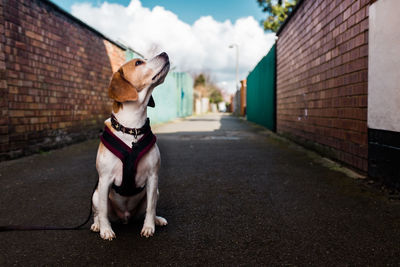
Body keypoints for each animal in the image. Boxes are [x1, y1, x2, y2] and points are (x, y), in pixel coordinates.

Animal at [90, 52, 170, 241]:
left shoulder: (153, 177)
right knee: (98, 212)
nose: (164, 53)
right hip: (95, 195)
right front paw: (106, 230)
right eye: (139, 63)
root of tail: (125, 217)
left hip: (155, 191)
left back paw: (157, 220)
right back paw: (97, 225)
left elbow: (151, 208)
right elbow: (103, 210)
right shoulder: (105, 180)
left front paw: (149, 227)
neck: (131, 127)